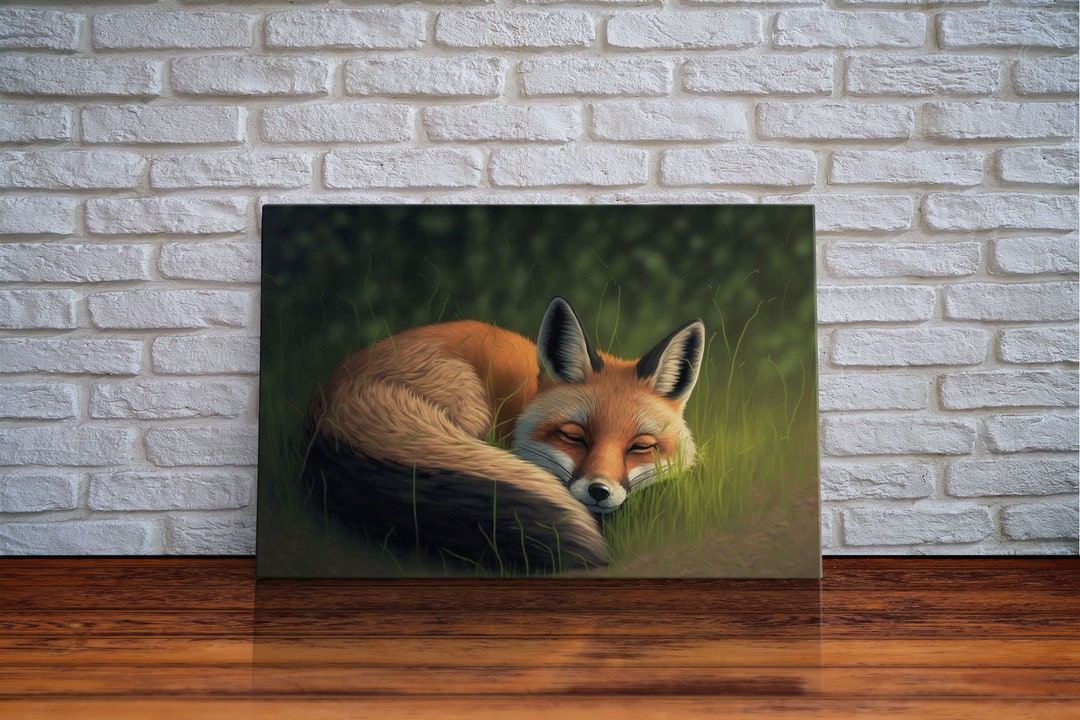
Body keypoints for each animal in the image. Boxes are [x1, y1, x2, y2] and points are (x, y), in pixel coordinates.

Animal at [303, 296, 705, 573]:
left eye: (640, 447)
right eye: (574, 437)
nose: (598, 491)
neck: (525, 397)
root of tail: (336, 390)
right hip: (468, 399)